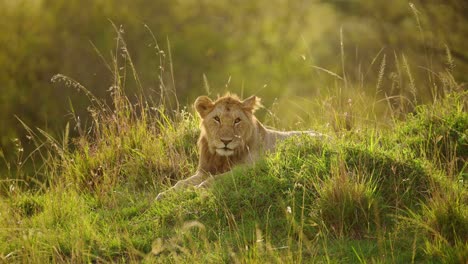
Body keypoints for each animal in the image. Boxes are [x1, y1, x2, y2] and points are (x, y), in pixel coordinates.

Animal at [156, 94, 322, 199]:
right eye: (217, 119)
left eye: (237, 120)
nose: (226, 141)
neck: (222, 158)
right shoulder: (204, 171)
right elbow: (181, 183)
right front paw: (164, 195)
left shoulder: (248, 168)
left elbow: (216, 179)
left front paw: (196, 190)